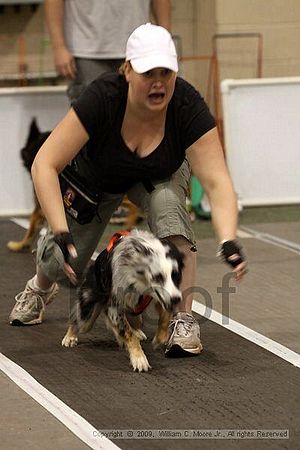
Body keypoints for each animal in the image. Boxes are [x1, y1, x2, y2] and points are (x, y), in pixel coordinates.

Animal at [62, 230, 184, 370]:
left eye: (176, 275)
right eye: (158, 276)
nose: (176, 299)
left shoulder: (163, 297)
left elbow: (165, 315)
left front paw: (160, 338)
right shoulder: (115, 305)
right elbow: (127, 332)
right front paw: (139, 358)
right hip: (89, 303)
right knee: (81, 320)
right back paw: (70, 337)